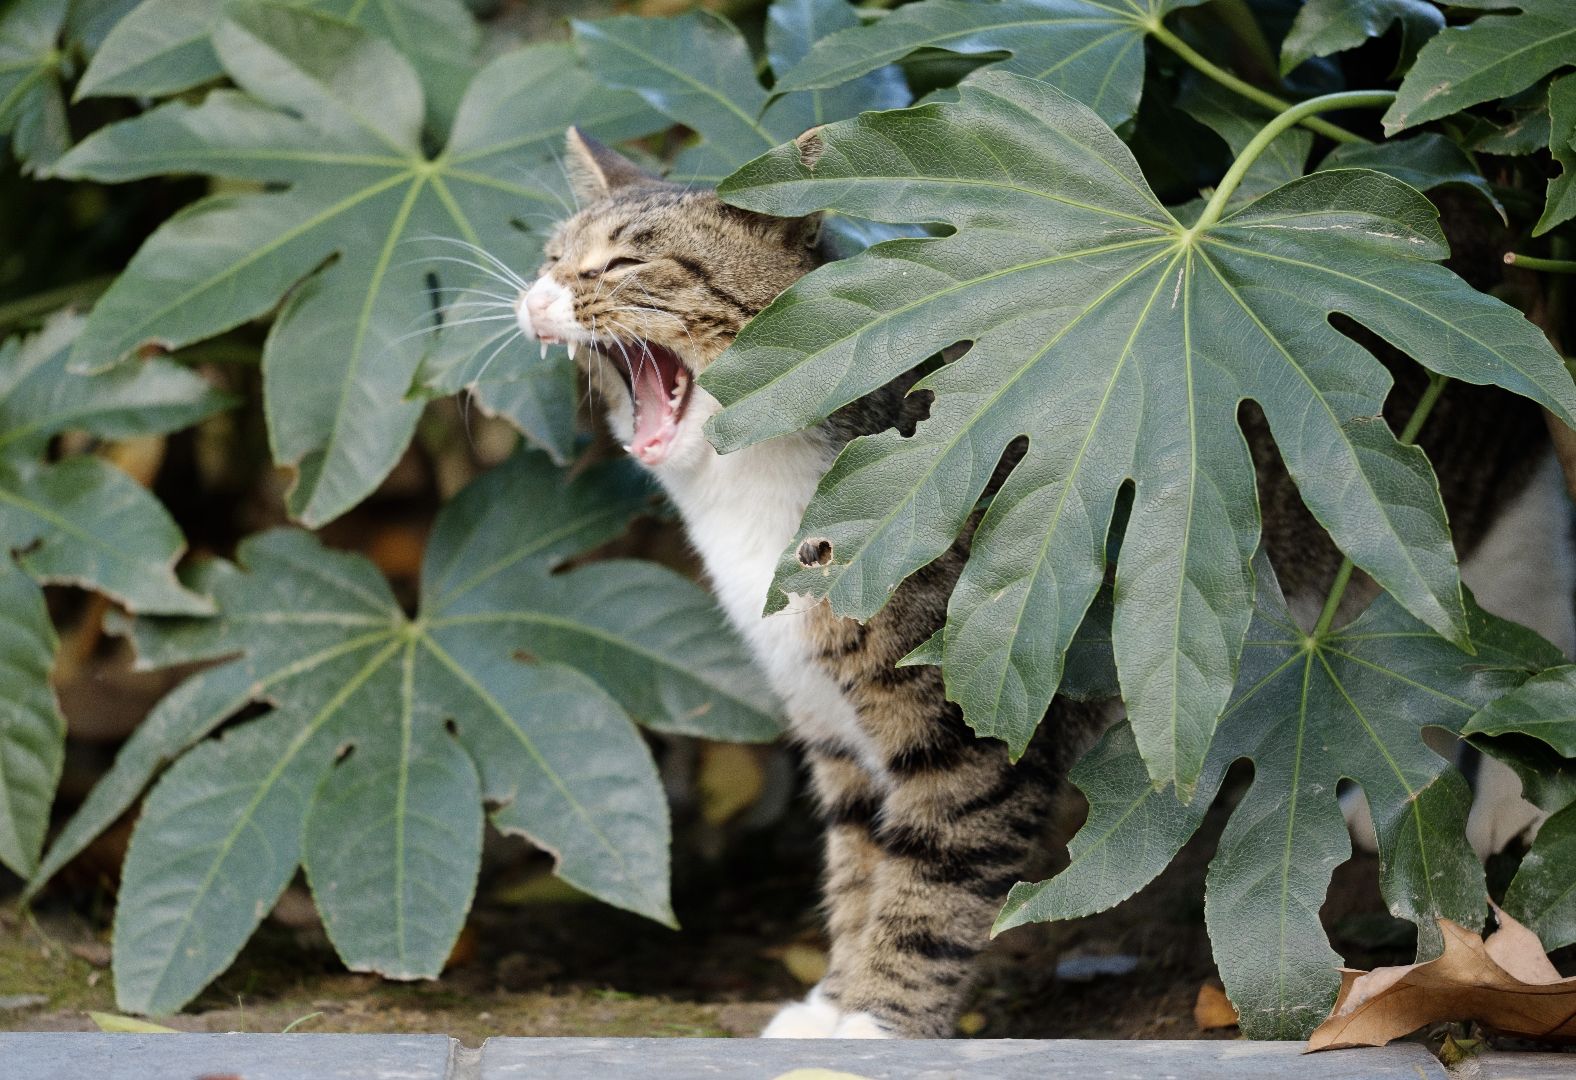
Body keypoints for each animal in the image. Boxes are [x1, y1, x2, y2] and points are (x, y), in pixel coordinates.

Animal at [510, 126, 1569, 1034]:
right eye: (555, 259)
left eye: (624, 265)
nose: (531, 297)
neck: (749, 505)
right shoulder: (832, 727)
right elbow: (858, 869)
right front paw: (835, 1002)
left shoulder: (975, 714)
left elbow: (929, 883)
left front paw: (877, 1024)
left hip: (1471, 511)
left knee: (1512, 629)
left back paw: (1510, 805)